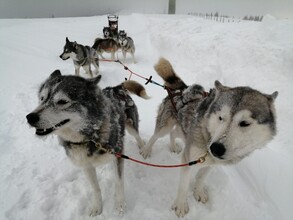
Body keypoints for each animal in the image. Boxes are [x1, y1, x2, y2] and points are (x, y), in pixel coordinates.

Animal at [25, 71, 148, 217]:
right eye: (42, 98)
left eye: (62, 101)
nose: (30, 117)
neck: (89, 137)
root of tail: (115, 88)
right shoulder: (86, 165)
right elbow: (95, 188)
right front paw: (97, 207)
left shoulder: (117, 155)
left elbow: (118, 182)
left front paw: (120, 205)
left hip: (130, 125)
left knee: (137, 136)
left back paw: (144, 149)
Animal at [141, 57, 278, 217]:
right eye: (221, 117)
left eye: (245, 123)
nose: (216, 148)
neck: (208, 137)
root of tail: (183, 88)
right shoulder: (188, 159)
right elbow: (183, 186)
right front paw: (181, 205)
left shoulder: (211, 163)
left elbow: (201, 177)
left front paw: (199, 191)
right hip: (165, 127)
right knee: (155, 136)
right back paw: (146, 150)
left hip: (184, 131)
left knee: (174, 133)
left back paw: (174, 146)